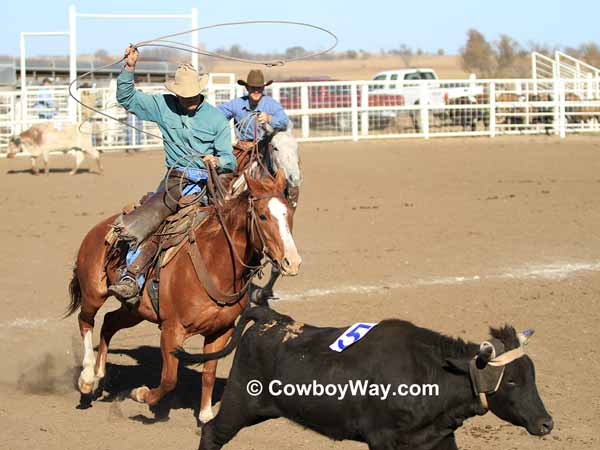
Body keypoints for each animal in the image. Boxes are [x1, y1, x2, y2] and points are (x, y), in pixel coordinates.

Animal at [64, 170, 300, 422]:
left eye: (289, 213)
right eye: (263, 216)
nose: (292, 262)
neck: (216, 264)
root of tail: (99, 229)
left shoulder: (221, 331)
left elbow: (209, 372)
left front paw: (206, 414)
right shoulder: (172, 329)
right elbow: (169, 378)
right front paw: (141, 394)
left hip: (135, 310)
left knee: (109, 322)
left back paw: (99, 374)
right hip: (93, 293)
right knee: (85, 321)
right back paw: (87, 379)